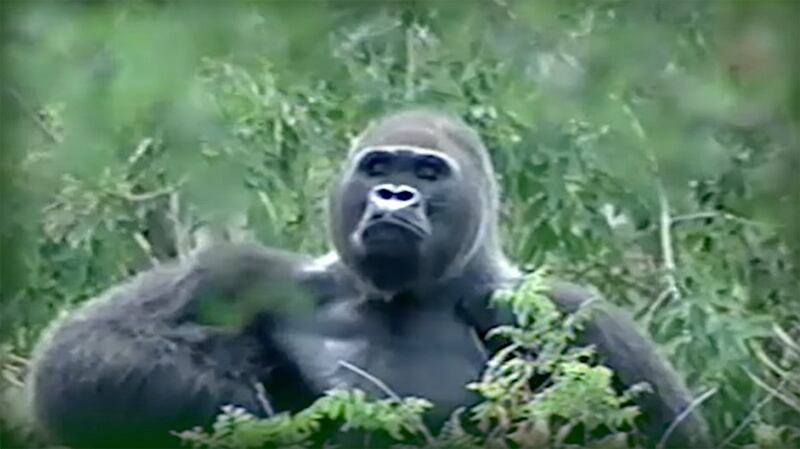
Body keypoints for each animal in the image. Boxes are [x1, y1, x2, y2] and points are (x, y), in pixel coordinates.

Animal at [27, 110, 710, 448]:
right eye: (379, 168)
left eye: (428, 173)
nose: (395, 195)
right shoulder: (248, 273)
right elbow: (83, 357)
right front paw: (243, 405)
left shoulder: (569, 314)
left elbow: (669, 434)